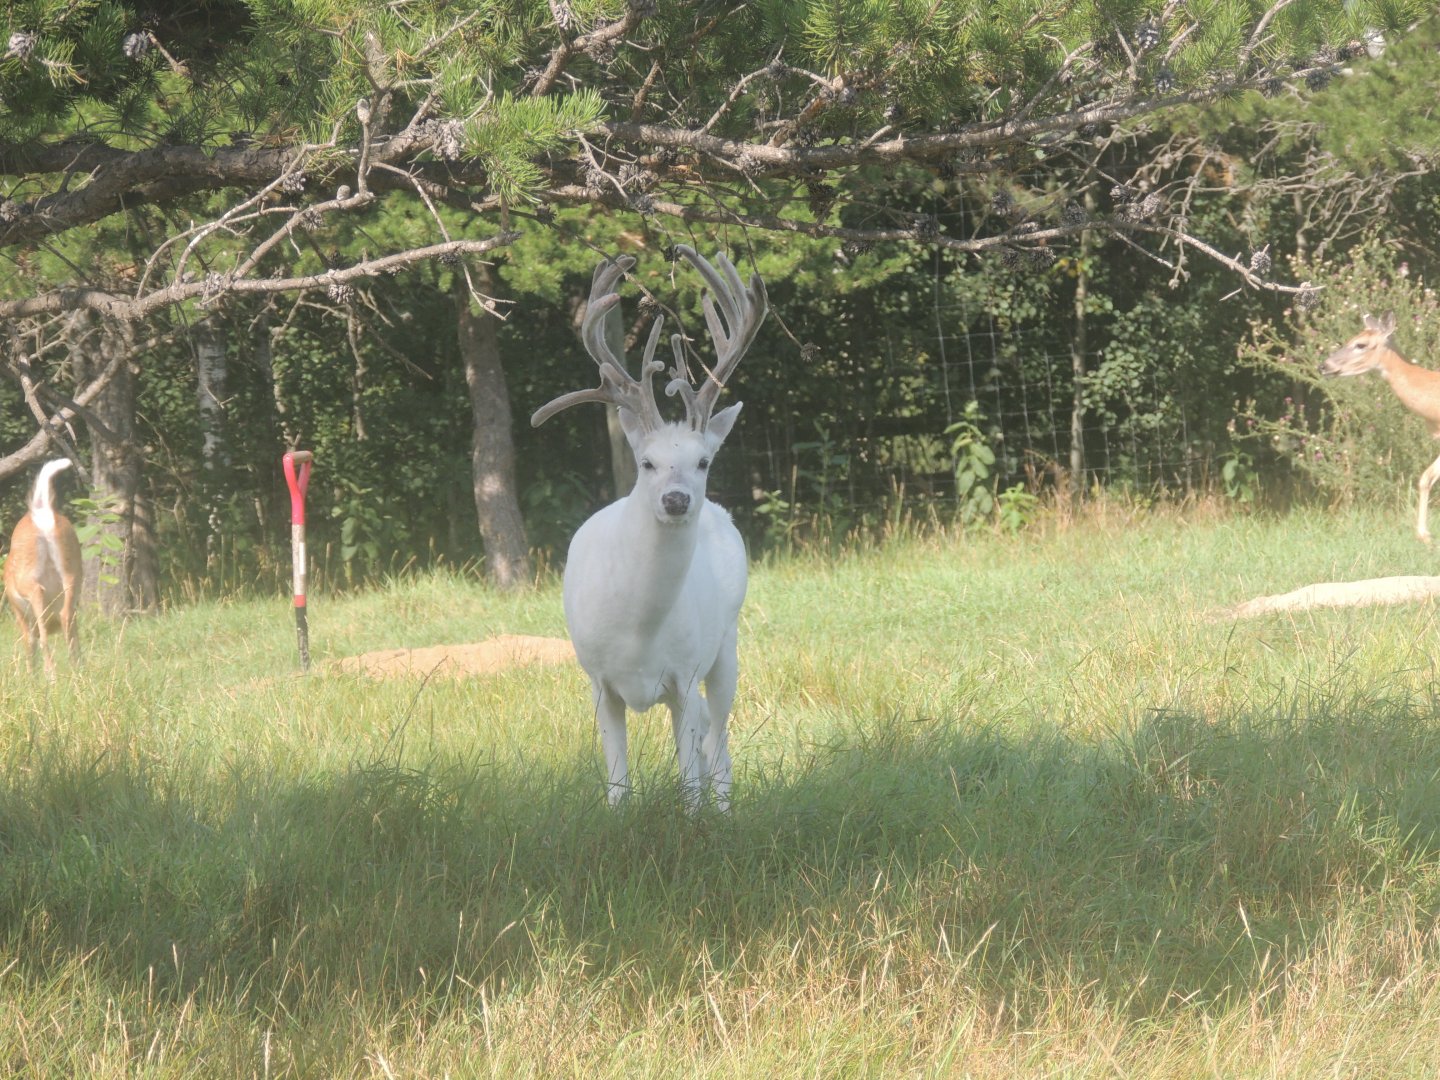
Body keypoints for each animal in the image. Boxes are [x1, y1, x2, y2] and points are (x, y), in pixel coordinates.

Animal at [4, 457, 83, 675]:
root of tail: (41, 511)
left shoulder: (22, 618)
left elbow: (30, 647)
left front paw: (30, 677)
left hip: (29, 581)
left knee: (43, 636)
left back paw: (51, 676)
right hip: (71, 573)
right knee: (66, 619)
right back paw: (77, 674)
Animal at [532, 246, 767, 810]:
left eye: (704, 461)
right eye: (646, 463)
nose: (676, 499)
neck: (638, 630)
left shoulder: (683, 674)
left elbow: (688, 783)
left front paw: (698, 821)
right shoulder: (598, 682)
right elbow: (618, 784)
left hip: (726, 646)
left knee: (718, 739)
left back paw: (727, 811)